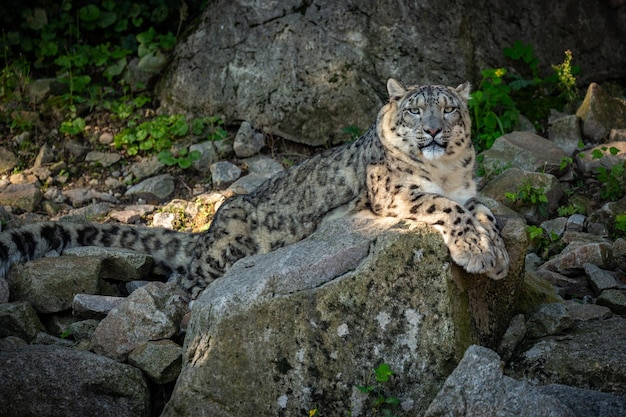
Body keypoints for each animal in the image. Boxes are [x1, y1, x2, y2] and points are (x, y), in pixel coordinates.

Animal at [0, 78, 508, 300]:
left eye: (449, 108)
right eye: (415, 110)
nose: (434, 131)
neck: (447, 171)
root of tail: (209, 228)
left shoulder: (469, 189)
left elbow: (481, 209)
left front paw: (496, 250)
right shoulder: (396, 190)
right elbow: (446, 207)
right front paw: (477, 251)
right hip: (222, 253)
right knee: (182, 283)